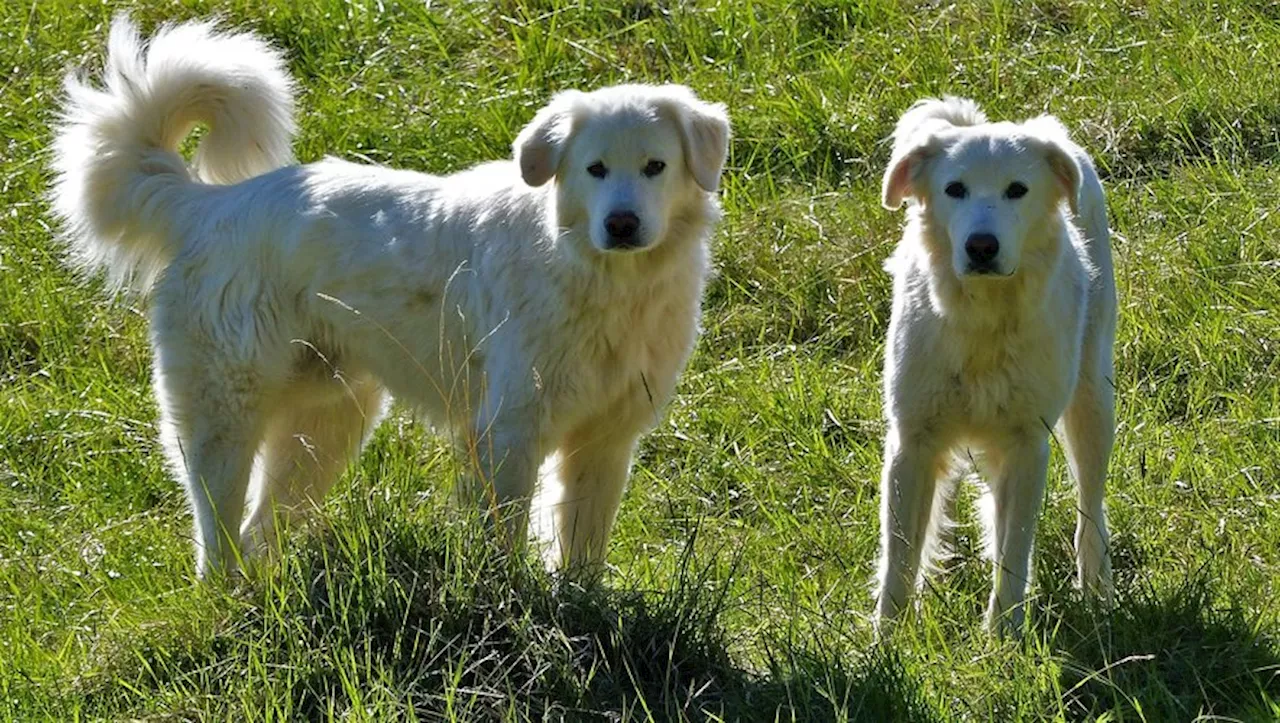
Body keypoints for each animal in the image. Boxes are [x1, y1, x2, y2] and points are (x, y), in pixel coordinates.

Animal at [52, 18, 732, 580]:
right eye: (595, 169)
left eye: (654, 166)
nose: (621, 224)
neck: (604, 281)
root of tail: (208, 204)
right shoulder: (508, 431)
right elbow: (505, 541)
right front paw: (512, 608)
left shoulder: (606, 437)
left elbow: (582, 545)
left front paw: (580, 608)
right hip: (225, 414)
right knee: (217, 538)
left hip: (325, 424)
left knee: (257, 533)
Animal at [875, 94, 1116, 632]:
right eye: (955, 190)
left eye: (1017, 191)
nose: (981, 247)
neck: (983, 320)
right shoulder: (912, 441)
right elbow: (899, 554)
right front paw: (886, 639)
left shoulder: (1027, 444)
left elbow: (1014, 550)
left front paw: (1003, 633)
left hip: (1093, 404)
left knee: (1090, 509)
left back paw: (1098, 590)